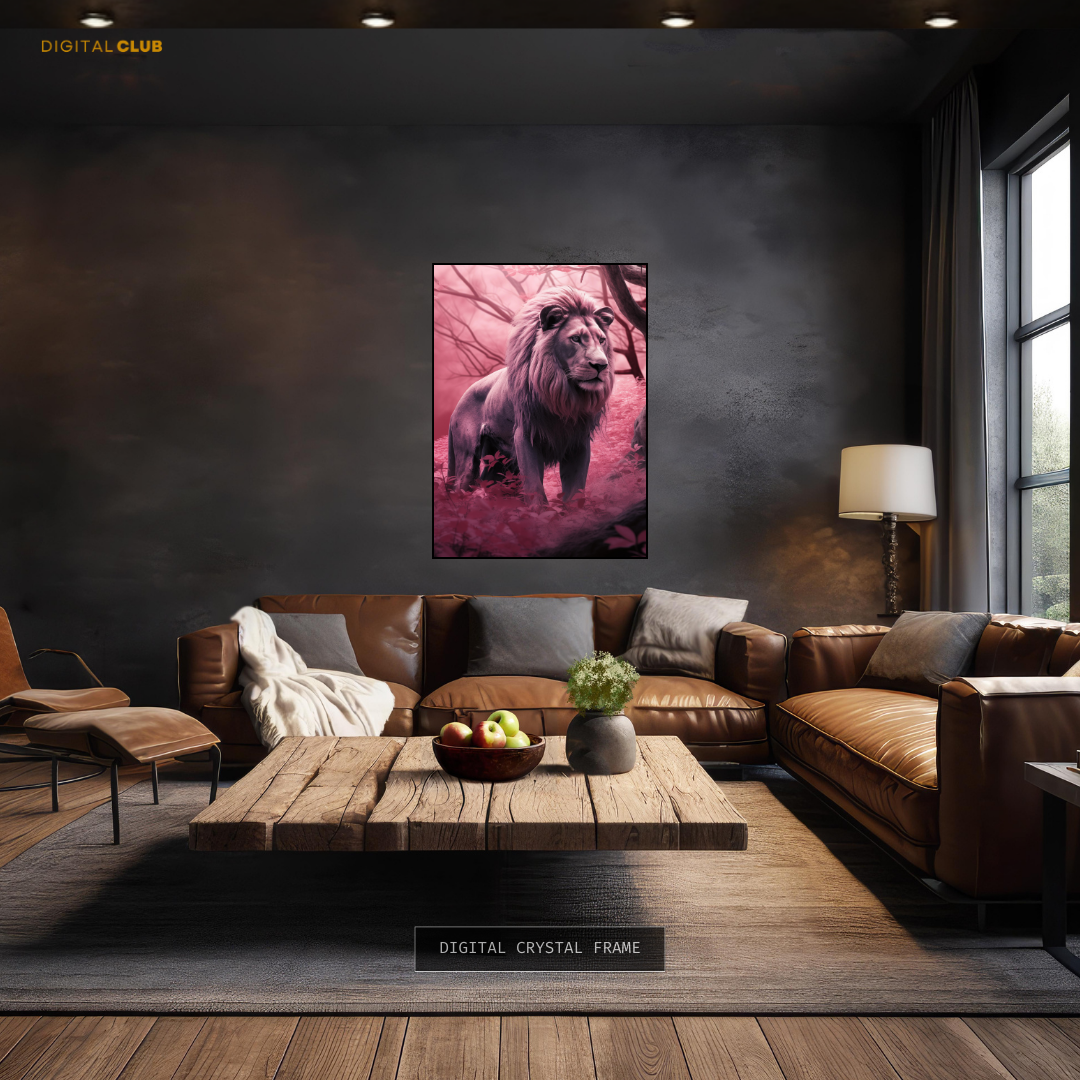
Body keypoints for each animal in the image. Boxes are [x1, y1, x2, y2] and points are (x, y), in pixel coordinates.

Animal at [447, 286, 616, 504]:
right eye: (576, 339)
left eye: (602, 340)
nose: (601, 365)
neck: (564, 395)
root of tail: (457, 404)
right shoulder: (526, 435)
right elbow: (535, 486)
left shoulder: (578, 439)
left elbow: (575, 489)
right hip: (467, 457)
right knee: (460, 488)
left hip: (500, 459)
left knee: (492, 484)